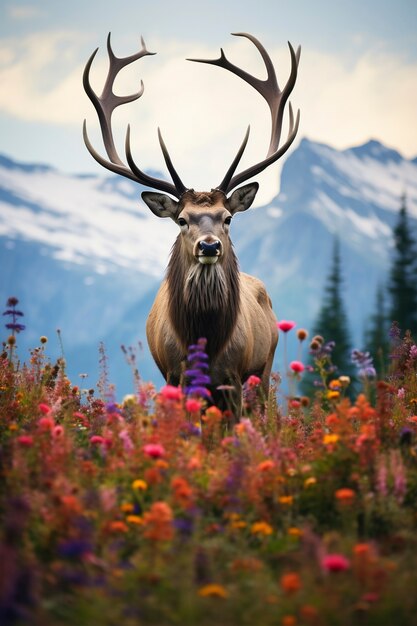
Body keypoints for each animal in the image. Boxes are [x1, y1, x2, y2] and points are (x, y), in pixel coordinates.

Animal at [83, 31, 300, 416]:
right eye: (182, 220)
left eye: (228, 217)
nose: (209, 245)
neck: (205, 339)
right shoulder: (175, 373)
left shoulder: (234, 377)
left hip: (264, 368)